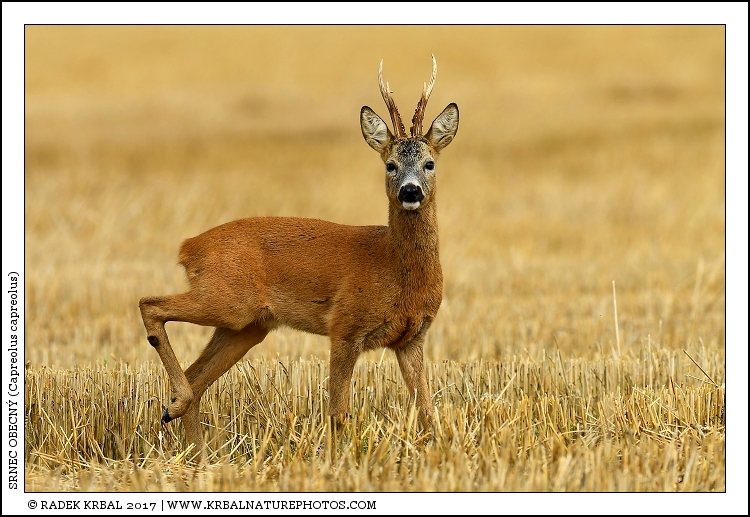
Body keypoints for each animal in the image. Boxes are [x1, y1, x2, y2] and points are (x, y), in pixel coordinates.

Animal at [139, 55, 459, 457]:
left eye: (430, 163)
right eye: (390, 165)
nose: (410, 191)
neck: (396, 270)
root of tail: (189, 247)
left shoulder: (412, 338)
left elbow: (428, 412)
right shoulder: (345, 325)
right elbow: (338, 412)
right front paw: (340, 460)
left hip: (247, 326)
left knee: (198, 380)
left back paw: (196, 448)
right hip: (228, 301)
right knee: (150, 304)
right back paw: (178, 410)